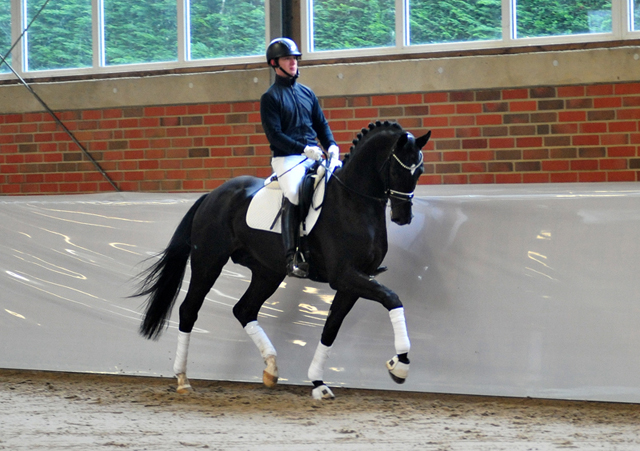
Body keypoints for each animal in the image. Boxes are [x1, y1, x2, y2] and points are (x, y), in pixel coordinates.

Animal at [138, 122, 432, 400]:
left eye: (419, 171)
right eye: (398, 170)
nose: (403, 217)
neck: (353, 201)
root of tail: (212, 195)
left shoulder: (353, 281)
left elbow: (331, 328)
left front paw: (318, 383)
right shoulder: (345, 276)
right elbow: (391, 298)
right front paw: (400, 364)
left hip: (267, 272)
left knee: (244, 310)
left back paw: (271, 369)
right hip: (208, 262)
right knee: (189, 309)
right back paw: (183, 379)